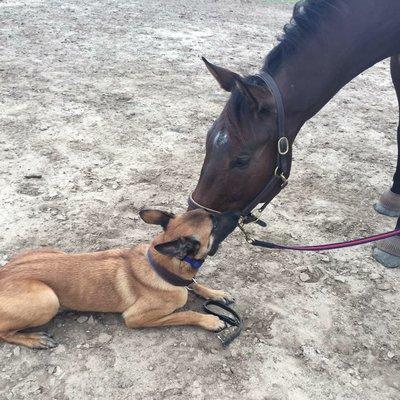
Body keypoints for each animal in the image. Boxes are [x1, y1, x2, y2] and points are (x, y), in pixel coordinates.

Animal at [0, 208, 238, 348]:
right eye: (214, 224)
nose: (234, 214)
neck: (160, 266)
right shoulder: (136, 317)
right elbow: (185, 314)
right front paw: (209, 320)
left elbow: (196, 285)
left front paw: (216, 293)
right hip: (48, 299)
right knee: (3, 332)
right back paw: (34, 339)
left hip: (54, 252)